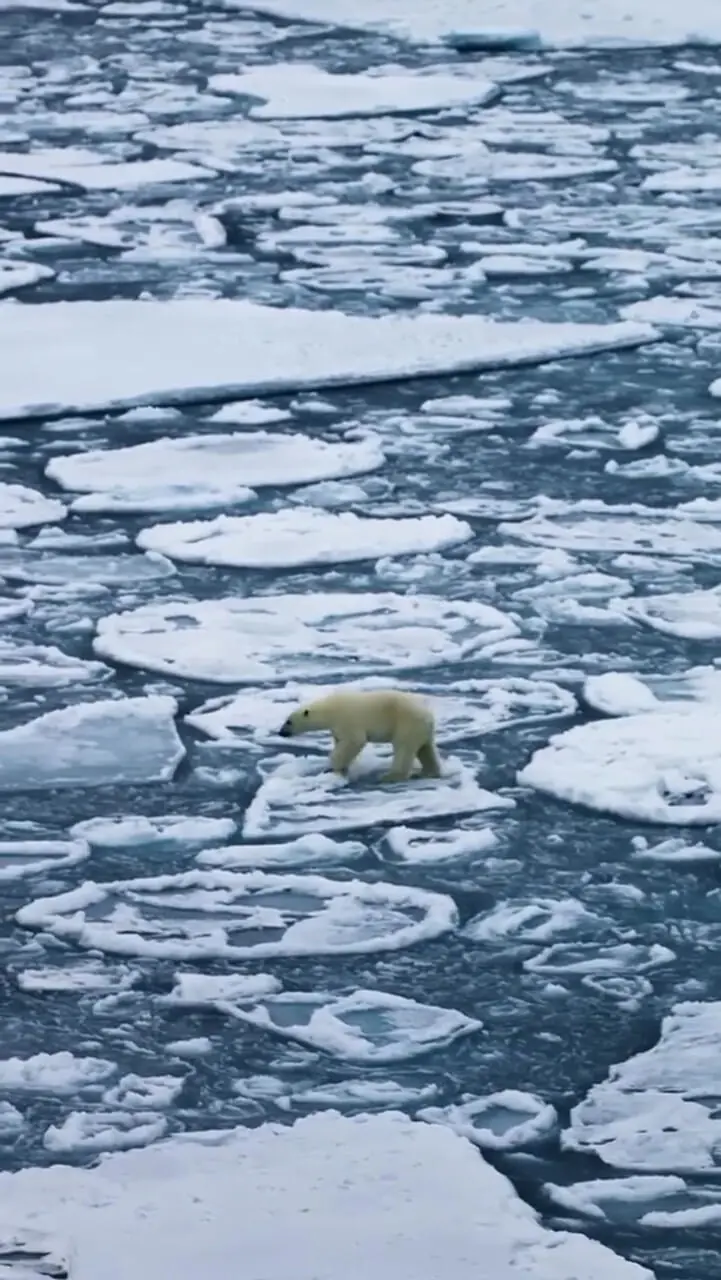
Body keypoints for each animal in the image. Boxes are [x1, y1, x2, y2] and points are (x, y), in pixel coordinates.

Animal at [279, 691, 443, 778]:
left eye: (288, 721)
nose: (281, 733)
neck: (330, 709)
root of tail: (429, 718)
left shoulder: (347, 720)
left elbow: (354, 741)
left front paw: (333, 768)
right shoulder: (336, 728)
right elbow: (340, 742)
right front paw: (342, 768)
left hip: (407, 724)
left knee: (403, 748)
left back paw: (390, 776)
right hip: (422, 730)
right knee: (425, 749)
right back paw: (430, 771)